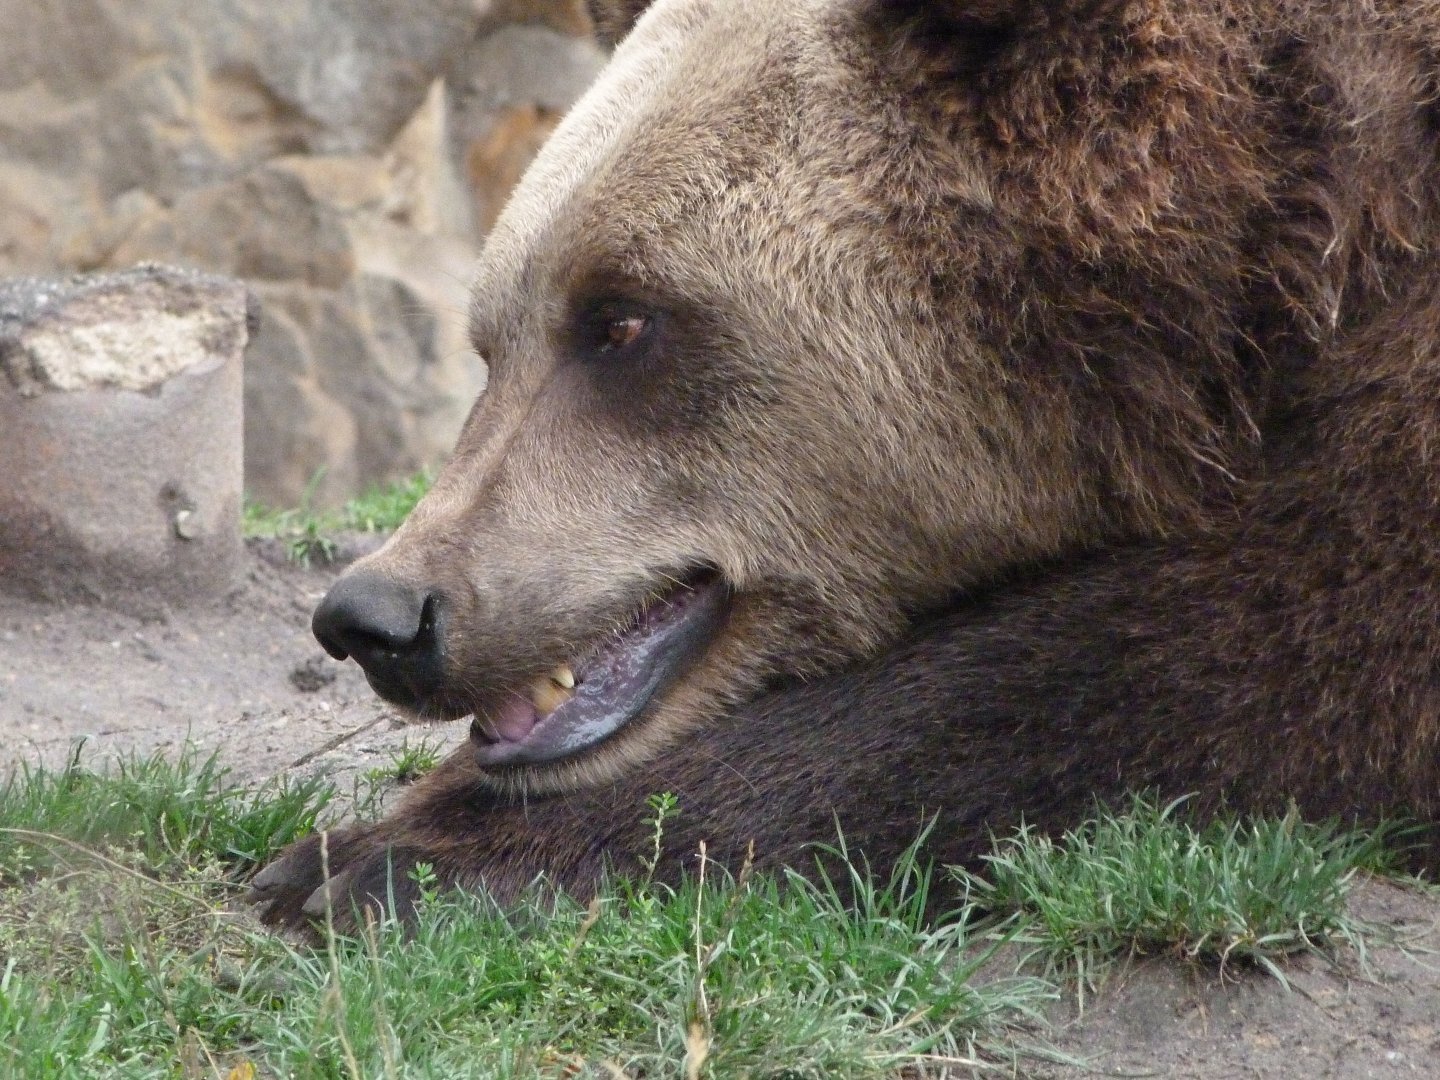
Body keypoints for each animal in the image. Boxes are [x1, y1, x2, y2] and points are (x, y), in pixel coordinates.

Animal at [251, 0, 1440, 930]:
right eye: (490, 341)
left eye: (619, 320)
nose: (382, 618)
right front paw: (337, 849)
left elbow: (1227, 648)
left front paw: (400, 861)